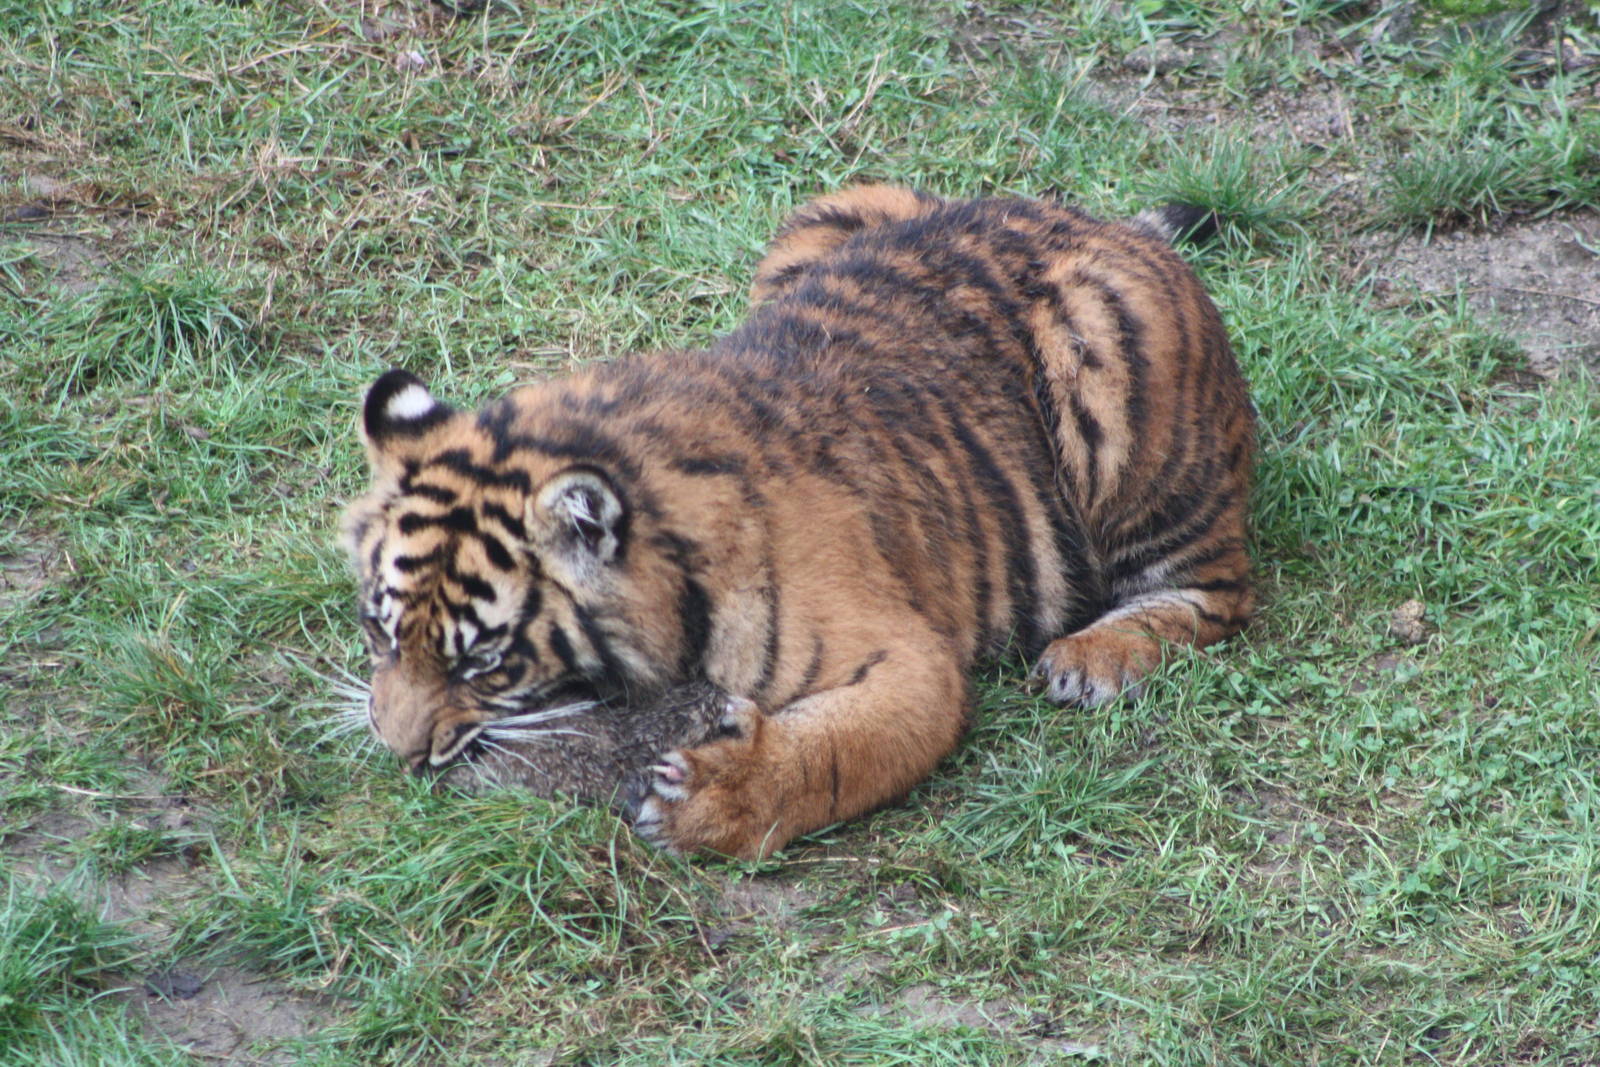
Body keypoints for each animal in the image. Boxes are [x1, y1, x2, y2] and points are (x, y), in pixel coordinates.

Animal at [342, 184, 1255, 860]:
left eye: (483, 662)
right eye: (381, 632)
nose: (398, 753)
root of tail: (1103, 222)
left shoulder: (911, 659)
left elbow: (835, 752)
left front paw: (710, 800)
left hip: (1115, 367)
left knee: (1218, 592)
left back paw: (1091, 659)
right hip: (831, 209)